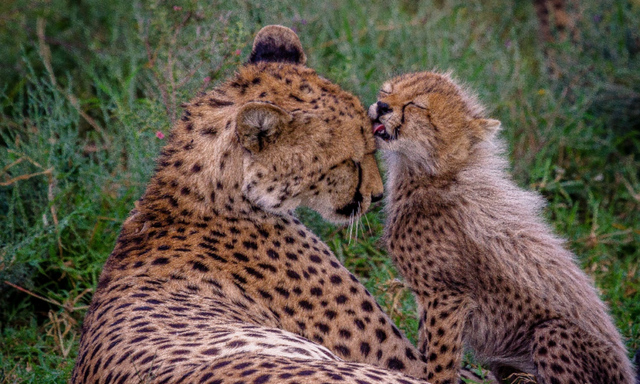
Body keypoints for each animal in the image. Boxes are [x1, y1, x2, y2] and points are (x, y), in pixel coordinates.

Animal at [370, 70, 636, 384]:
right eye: (386, 91)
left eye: (416, 105)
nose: (381, 106)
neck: (434, 176)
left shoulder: (446, 296)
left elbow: (440, 358)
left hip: (551, 332)